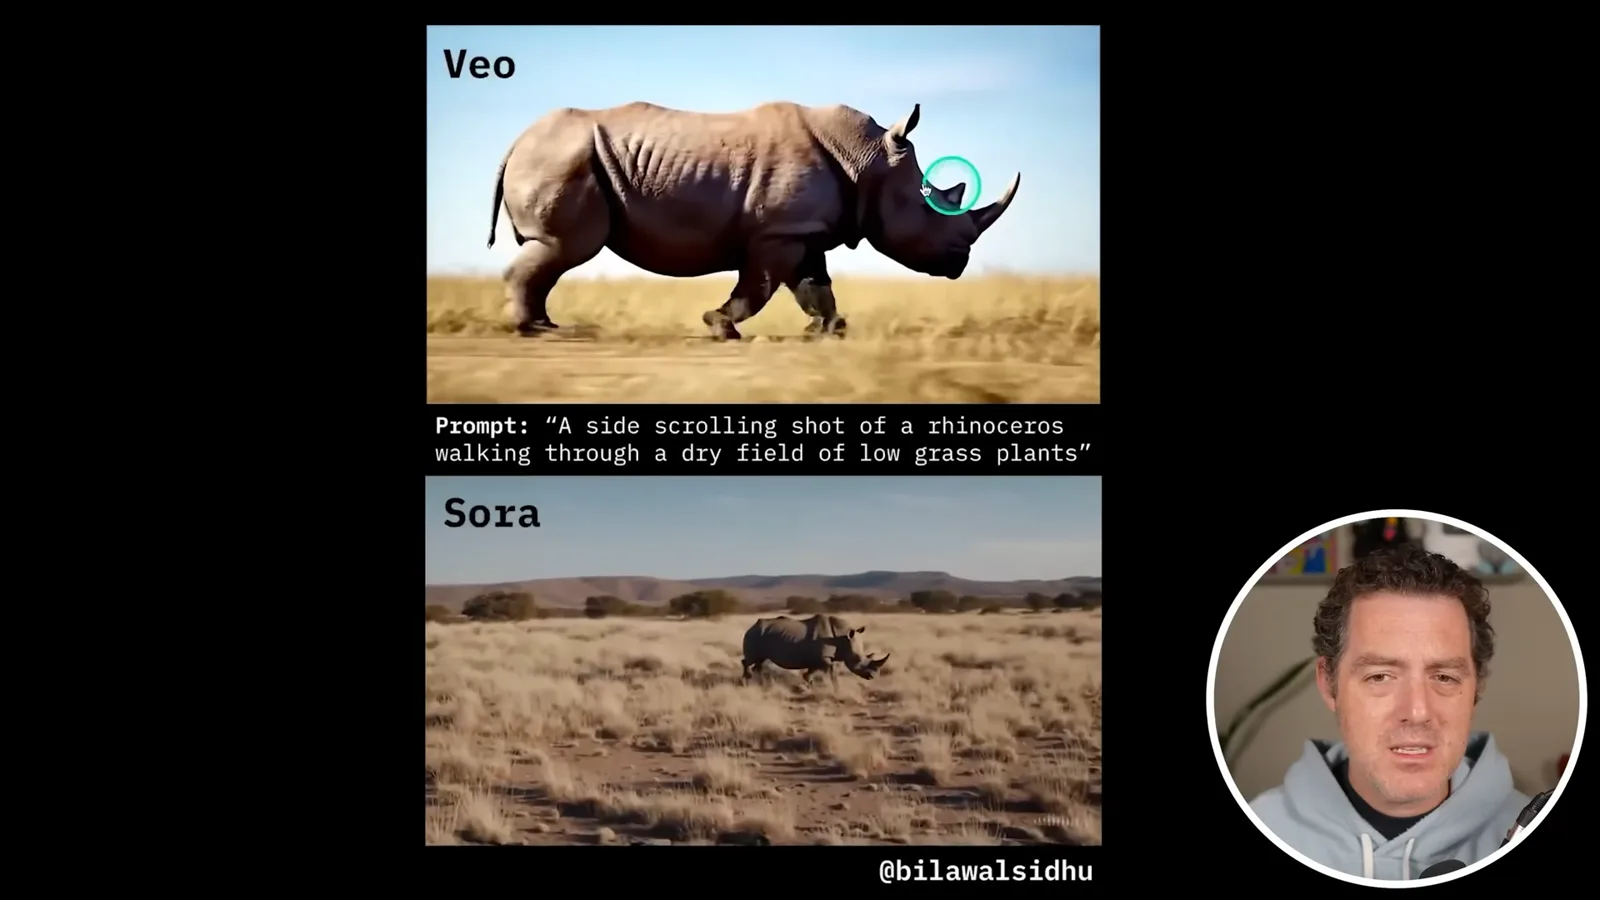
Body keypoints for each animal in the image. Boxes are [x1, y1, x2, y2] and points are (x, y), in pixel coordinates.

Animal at [487, 100, 1021, 340]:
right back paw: (536, 331)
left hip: (563, 157)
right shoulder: (776, 232)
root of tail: (515, 141)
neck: (868, 160)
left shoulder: (803, 231)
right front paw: (720, 326)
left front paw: (831, 331)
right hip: (564, 159)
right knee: (563, 248)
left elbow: (815, 285)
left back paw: (544, 325)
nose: (959, 262)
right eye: (934, 206)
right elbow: (760, 285)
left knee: (554, 252)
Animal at [741, 614, 891, 687]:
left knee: (760, 661)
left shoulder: (817, 659)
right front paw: (837, 690)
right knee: (750, 660)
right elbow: (832, 673)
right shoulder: (823, 658)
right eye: (858, 660)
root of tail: (751, 626)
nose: (873, 677)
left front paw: (810, 685)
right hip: (755, 635)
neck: (843, 637)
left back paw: (760, 684)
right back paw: (747, 681)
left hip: (760, 636)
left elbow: (809, 673)